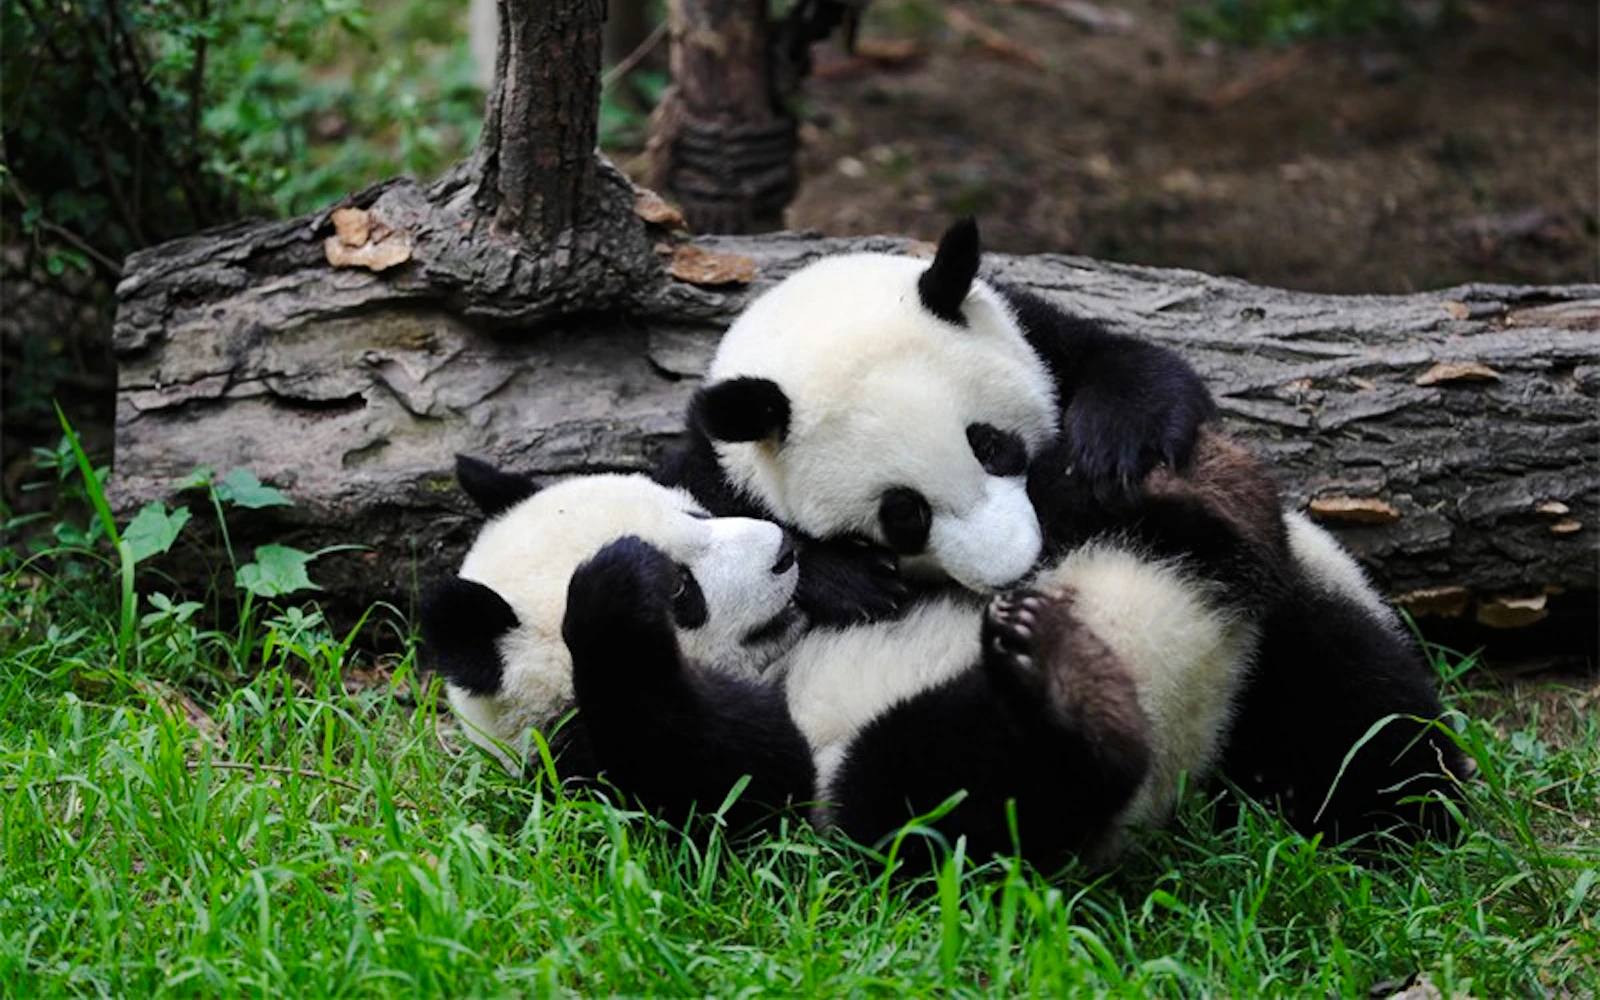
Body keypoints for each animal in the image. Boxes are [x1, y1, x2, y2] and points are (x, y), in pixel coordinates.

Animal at [658, 219, 1469, 846]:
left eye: (992, 445)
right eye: (904, 515)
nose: (1016, 566)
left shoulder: (1043, 339)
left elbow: (1136, 369)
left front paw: (1112, 447)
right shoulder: (714, 470)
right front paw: (846, 577)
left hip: (1292, 610)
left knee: (1351, 701)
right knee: (954, 796)